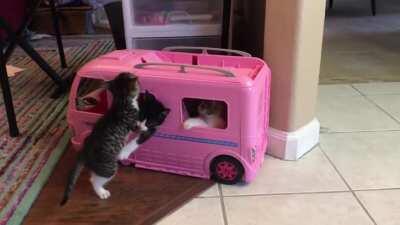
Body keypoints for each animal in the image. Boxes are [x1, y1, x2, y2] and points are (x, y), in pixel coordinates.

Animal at [60, 72, 140, 206]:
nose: (133, 74)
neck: (121, 101)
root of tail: (84, 151)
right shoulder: (133, 122)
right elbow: (140, 124)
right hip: (108, 167)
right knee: (94, 180)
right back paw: (102, 192)